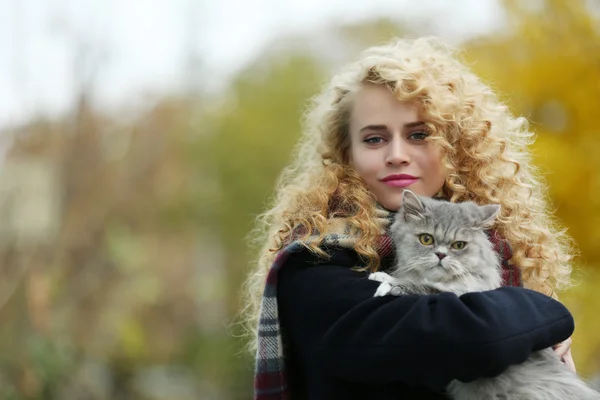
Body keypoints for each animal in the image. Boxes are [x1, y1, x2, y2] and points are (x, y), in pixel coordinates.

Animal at [368, 191, 596, 400]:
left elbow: (424, 288)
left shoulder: (461, 295)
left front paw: (385, 281)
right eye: (426, 239)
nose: (441, 255)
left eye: (459, 245)